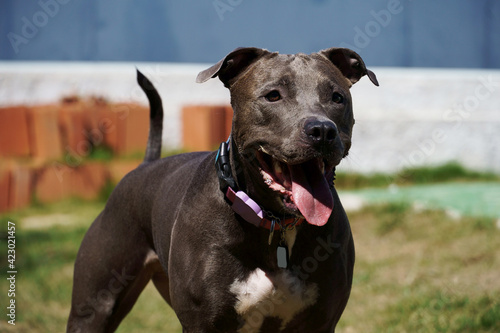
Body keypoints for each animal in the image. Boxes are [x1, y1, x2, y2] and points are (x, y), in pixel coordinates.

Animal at [67, 46, 378, 332]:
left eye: (337, 97)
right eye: (273, 95)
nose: (322, 130)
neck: (275, 223)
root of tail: (145, 165)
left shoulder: (320, 322)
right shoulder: (203, 323)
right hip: (93, 308)